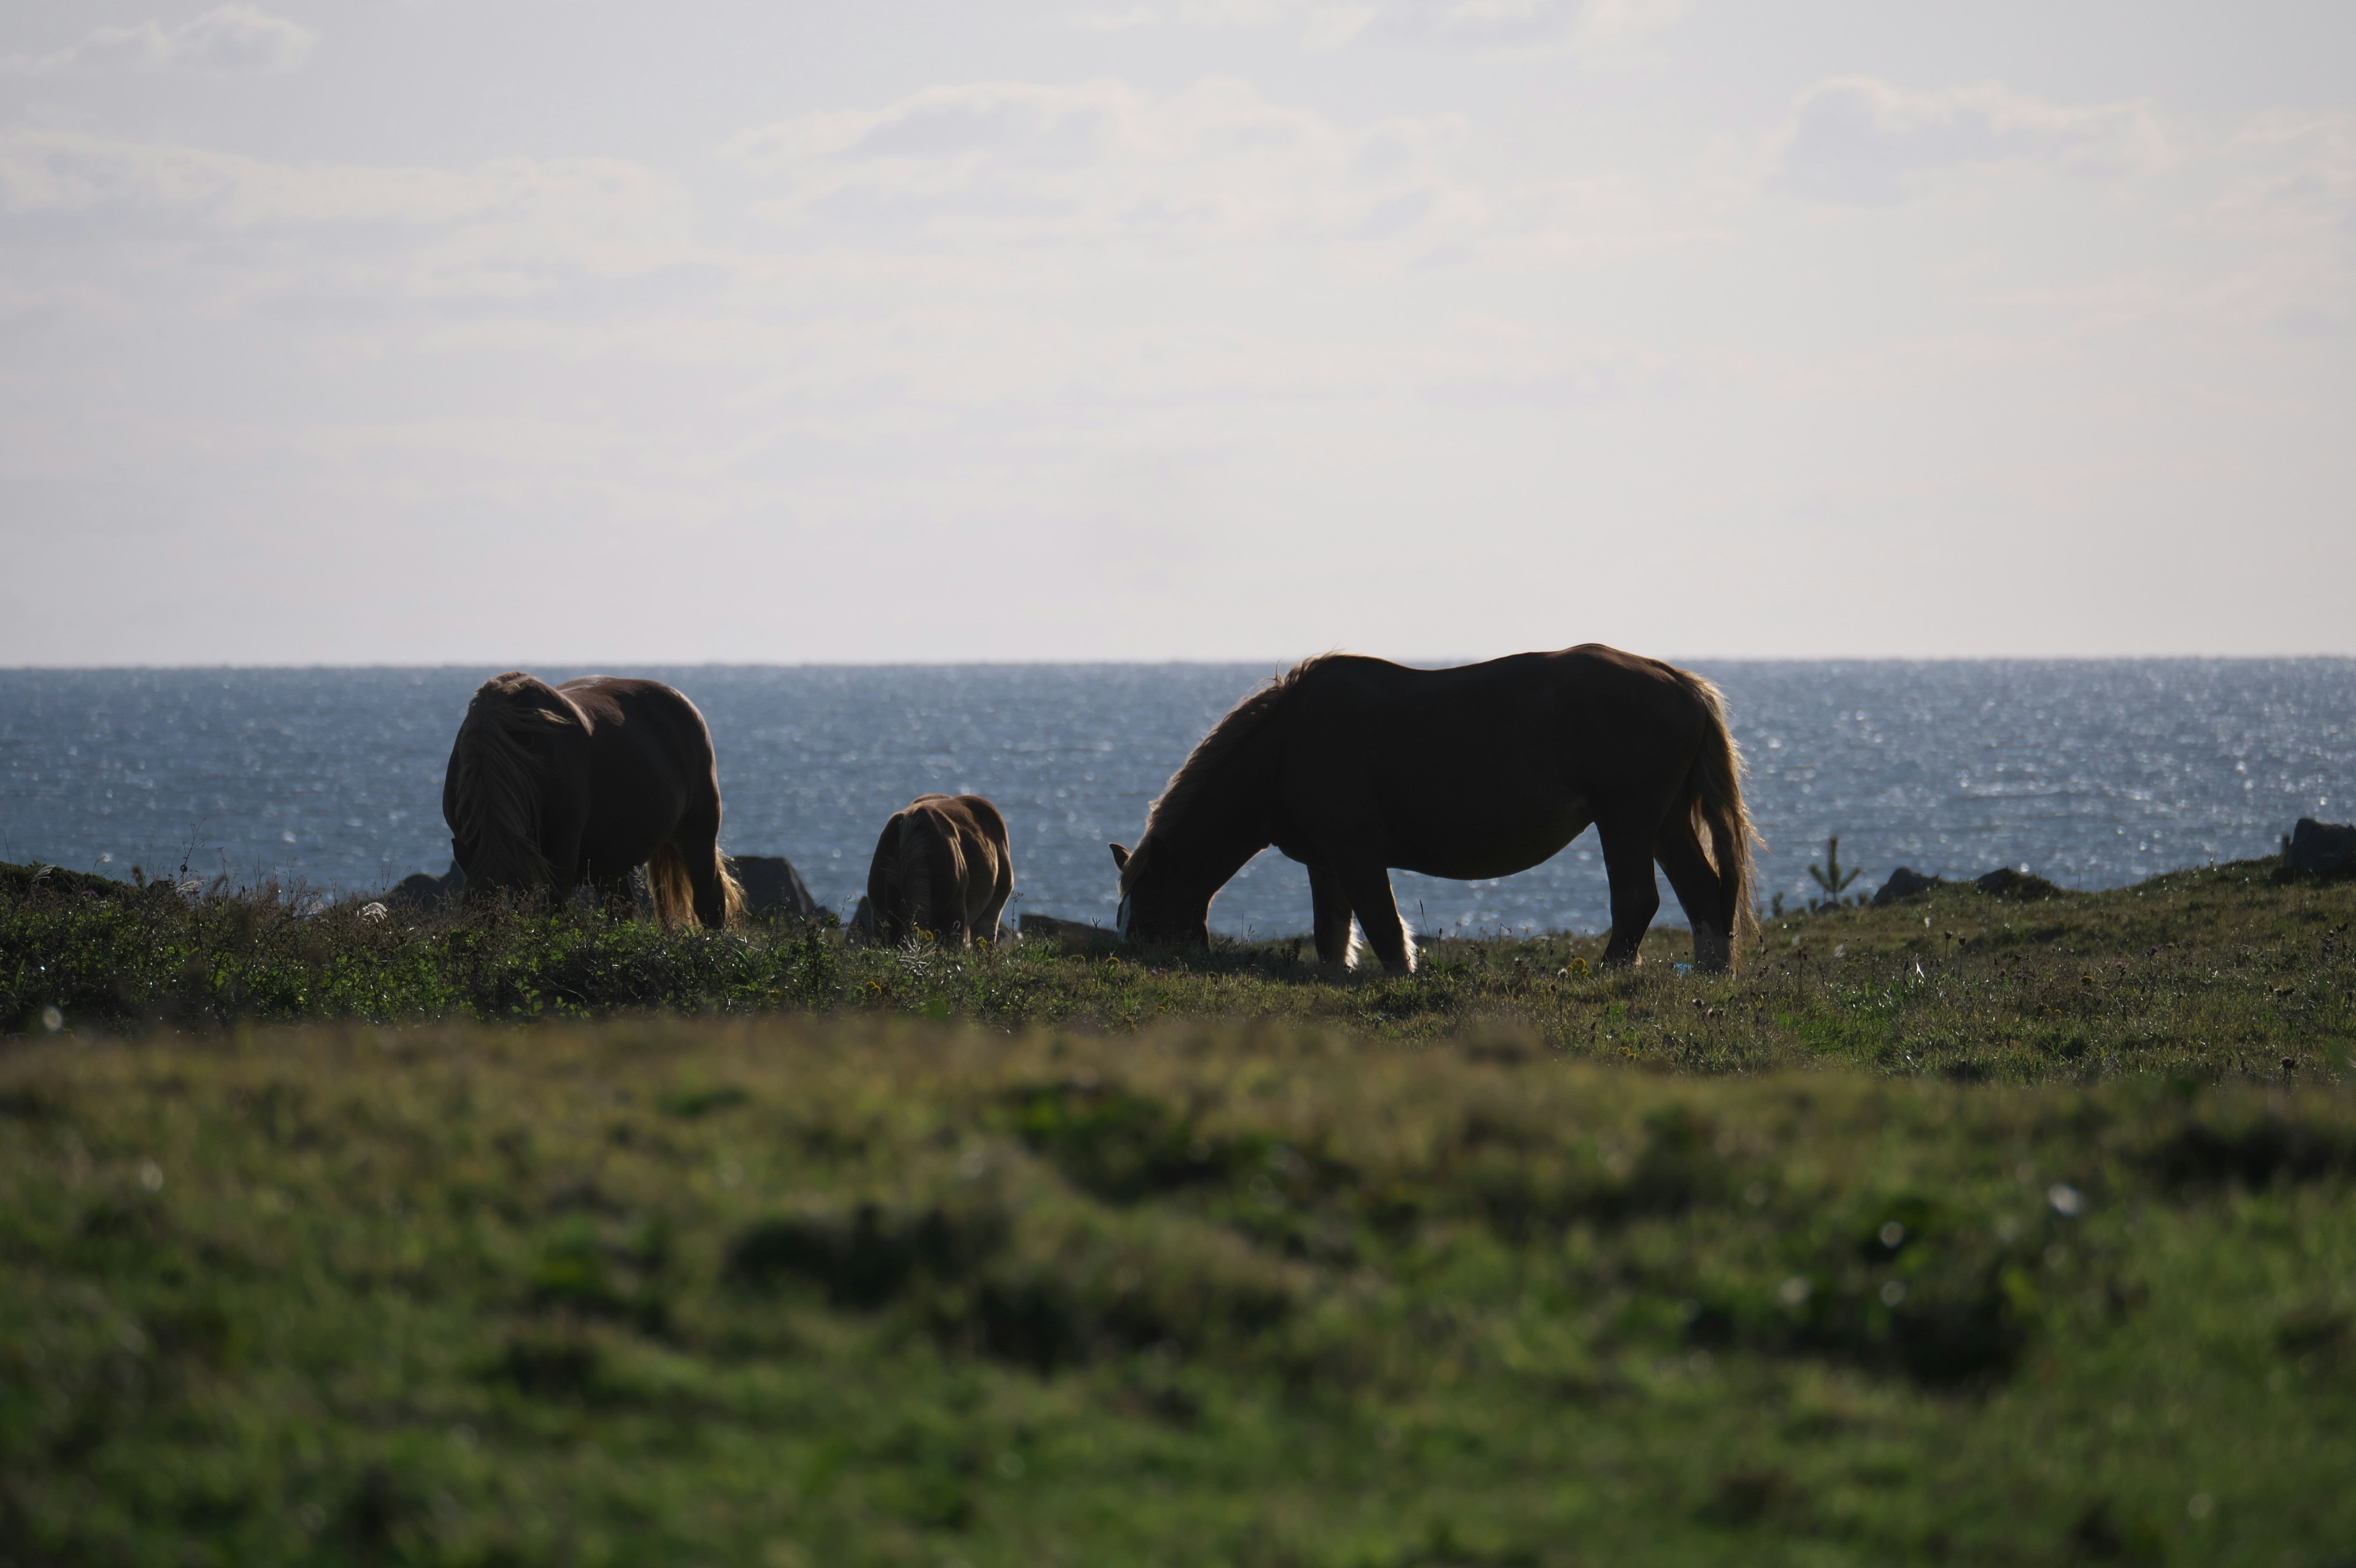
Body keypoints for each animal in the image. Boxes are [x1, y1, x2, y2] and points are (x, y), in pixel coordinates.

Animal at [438, 664, 739, 923]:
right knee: (621, 908)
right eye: (470, 919)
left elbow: (554, 914)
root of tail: (683, 702)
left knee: (710, 904)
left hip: (698, 835)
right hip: (612, 858)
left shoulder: (561, 854)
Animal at [1112, 645, 1762, 965]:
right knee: (1704, 895)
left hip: (1626, 818)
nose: (1142, 954)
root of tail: (1679, 683)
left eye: (1147, 909)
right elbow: (1332, 934)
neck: (1288, 744)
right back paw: (1712, 977)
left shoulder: (1357, 852)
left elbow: (1381, 925)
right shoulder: (1326, 860)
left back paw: (1606, 974)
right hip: (1664, 821)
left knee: (1637, 902)